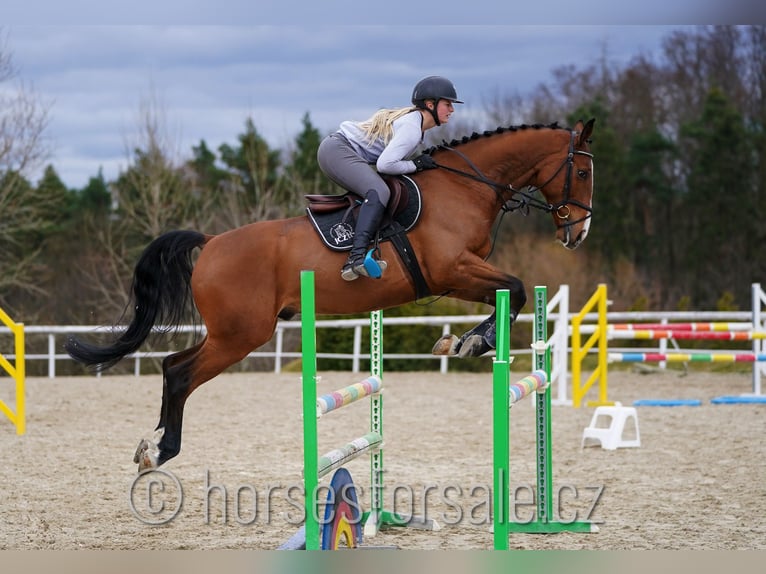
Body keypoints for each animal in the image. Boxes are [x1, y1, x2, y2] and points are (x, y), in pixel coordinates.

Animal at [66, 118, 596, 472]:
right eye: (583, 173)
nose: (579, 233)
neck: (463, 189)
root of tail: (212, 242)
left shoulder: (459, 276)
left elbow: (509, 294)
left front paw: (459, 341)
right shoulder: (454, 270)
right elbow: (517, 289)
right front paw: (469, 343)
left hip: (235, 332)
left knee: (171, 364)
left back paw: (155, 446)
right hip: (241, 334)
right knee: (180, 373)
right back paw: (161, 452)